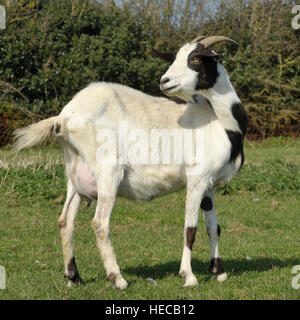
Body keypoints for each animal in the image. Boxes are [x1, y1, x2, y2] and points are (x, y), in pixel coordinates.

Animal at [13, 35, 246, 290]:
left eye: (195, 59)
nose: (165, 81)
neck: (221, 123)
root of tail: (64, 117)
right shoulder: (197, 177)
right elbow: (190, 229)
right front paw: (189, 276)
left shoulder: (209, 185)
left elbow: (213, 227)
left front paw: (218, 272)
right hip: (108, 171)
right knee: (99, 223)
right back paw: (117, 278)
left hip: (75, 174)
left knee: (66, 222)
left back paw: (75, 276)